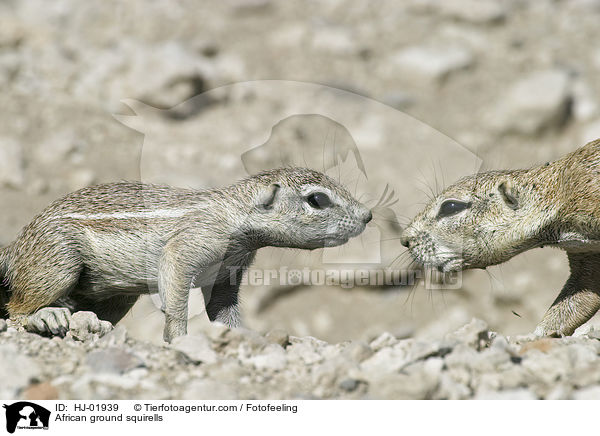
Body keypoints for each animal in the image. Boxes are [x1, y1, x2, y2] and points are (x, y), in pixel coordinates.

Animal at [1, 167, 370, 340]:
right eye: (317, 199)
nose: (367, 215)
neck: (234, 216)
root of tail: (17, 245)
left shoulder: (228, 274)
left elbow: (223, 308)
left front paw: (237, 338)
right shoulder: (189, 245)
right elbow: (175, 290)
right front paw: (178, 338)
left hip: (115, 296)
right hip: (55, 261)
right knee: (17, 308)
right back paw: (45, 317)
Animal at [400, 140, 600, 338]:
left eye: (451, 206)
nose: (404, 240)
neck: (556, 192)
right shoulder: (585, 253)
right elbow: (578, 298)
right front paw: (537, 335)